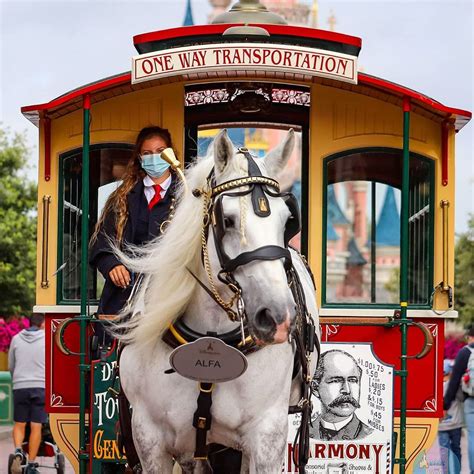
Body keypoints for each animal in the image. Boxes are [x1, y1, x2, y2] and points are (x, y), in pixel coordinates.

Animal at [117, 131, 320, 474]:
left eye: (287, 221)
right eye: (227, 219)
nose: (278, 317)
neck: (210, 336)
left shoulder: (268, 436)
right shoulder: (149, 438)